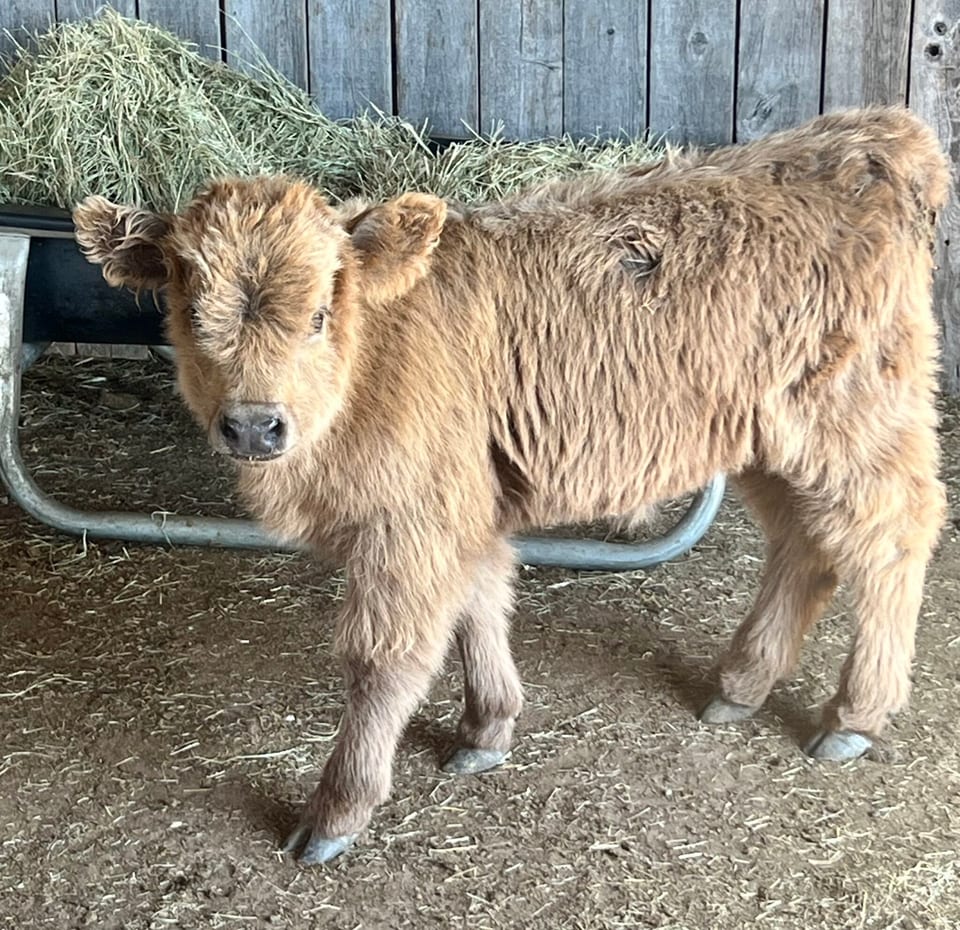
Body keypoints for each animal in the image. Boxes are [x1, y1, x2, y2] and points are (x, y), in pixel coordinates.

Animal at [74, 106, 947, 864]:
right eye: (188, 311)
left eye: (321, 312)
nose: (255, 426)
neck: (375, 358)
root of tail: (871, 138)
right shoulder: (467, 506)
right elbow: (480, 604)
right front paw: (487, 728)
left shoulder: (411, 526)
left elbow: (385, 660)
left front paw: (337, 812)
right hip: (773, 444)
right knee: (806, 547)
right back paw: (742, 683)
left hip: (858, 424)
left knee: (893, 538)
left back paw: (855, 714)